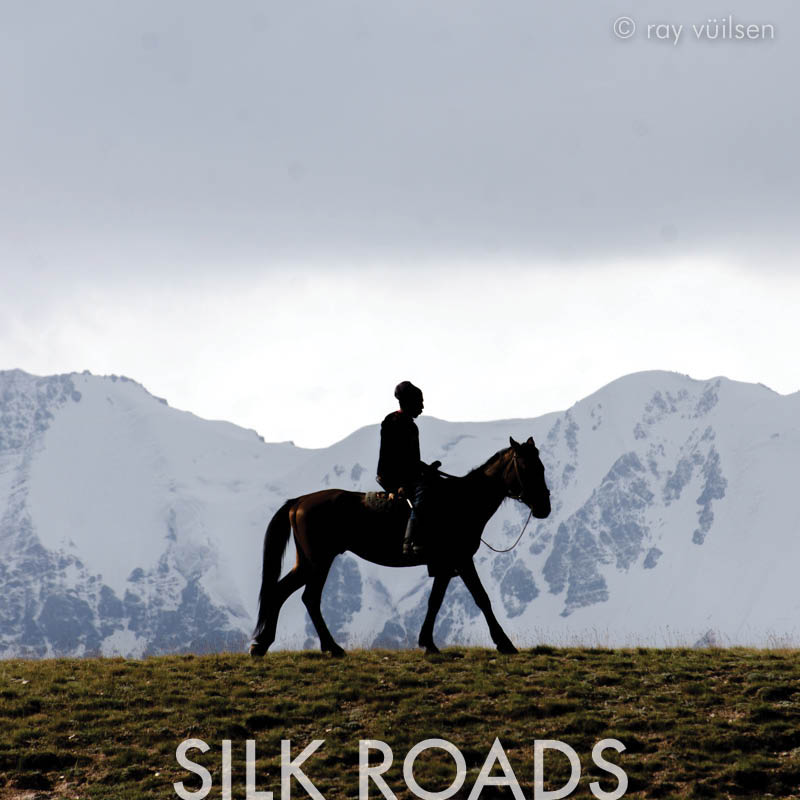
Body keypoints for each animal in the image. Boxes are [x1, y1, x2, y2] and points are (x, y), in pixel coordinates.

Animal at [249, 436, 551, 657]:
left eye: (543, 467)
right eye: (526, 468)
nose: (544, 507)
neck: (462, 502)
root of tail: (299, 501)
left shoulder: (445, 565)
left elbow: (434, 601)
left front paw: (428, 643)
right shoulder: (462, 559)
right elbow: (482, 598)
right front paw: (505, 643)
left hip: (309, 561)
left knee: (287, 593)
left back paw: (267, 645)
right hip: (319, 561)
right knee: (304, 597)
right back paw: (324, 647)